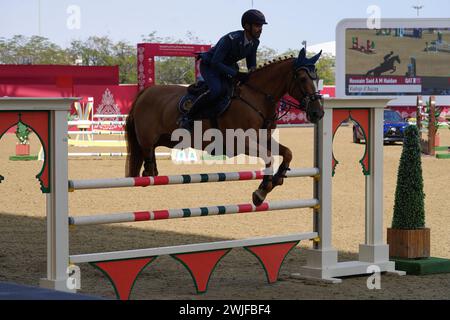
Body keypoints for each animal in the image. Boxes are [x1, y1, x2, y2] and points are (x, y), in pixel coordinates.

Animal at [125, 48, 326, 206]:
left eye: (317, 78)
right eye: (302, 78)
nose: (318, 113)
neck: (256, 97)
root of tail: (145, 92)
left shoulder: (263, 138)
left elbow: (287, 153)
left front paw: (277, 179)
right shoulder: (241, 142)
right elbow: (269, 157)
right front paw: (261, 191)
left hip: (166, 138)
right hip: (147, 138)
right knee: (147, 157)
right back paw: (149, 174)